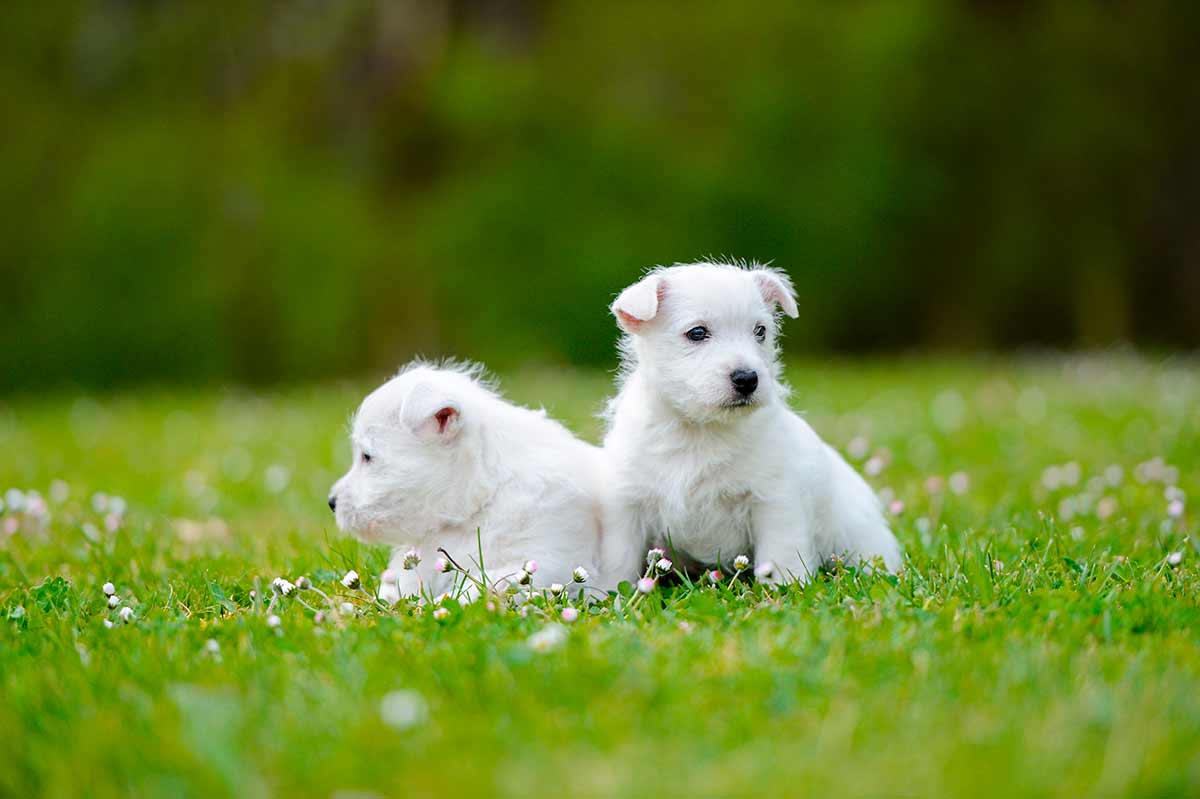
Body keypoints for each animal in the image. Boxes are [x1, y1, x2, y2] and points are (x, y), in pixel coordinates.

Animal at [604, 257, 897, 583]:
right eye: (697, 333)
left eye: (760, 331)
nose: (747, 379)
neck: (699, 429)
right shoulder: (627, 505)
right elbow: (618, 559)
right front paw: (606, 590)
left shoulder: (774, 500)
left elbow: (781, 555)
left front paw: (785, 588)